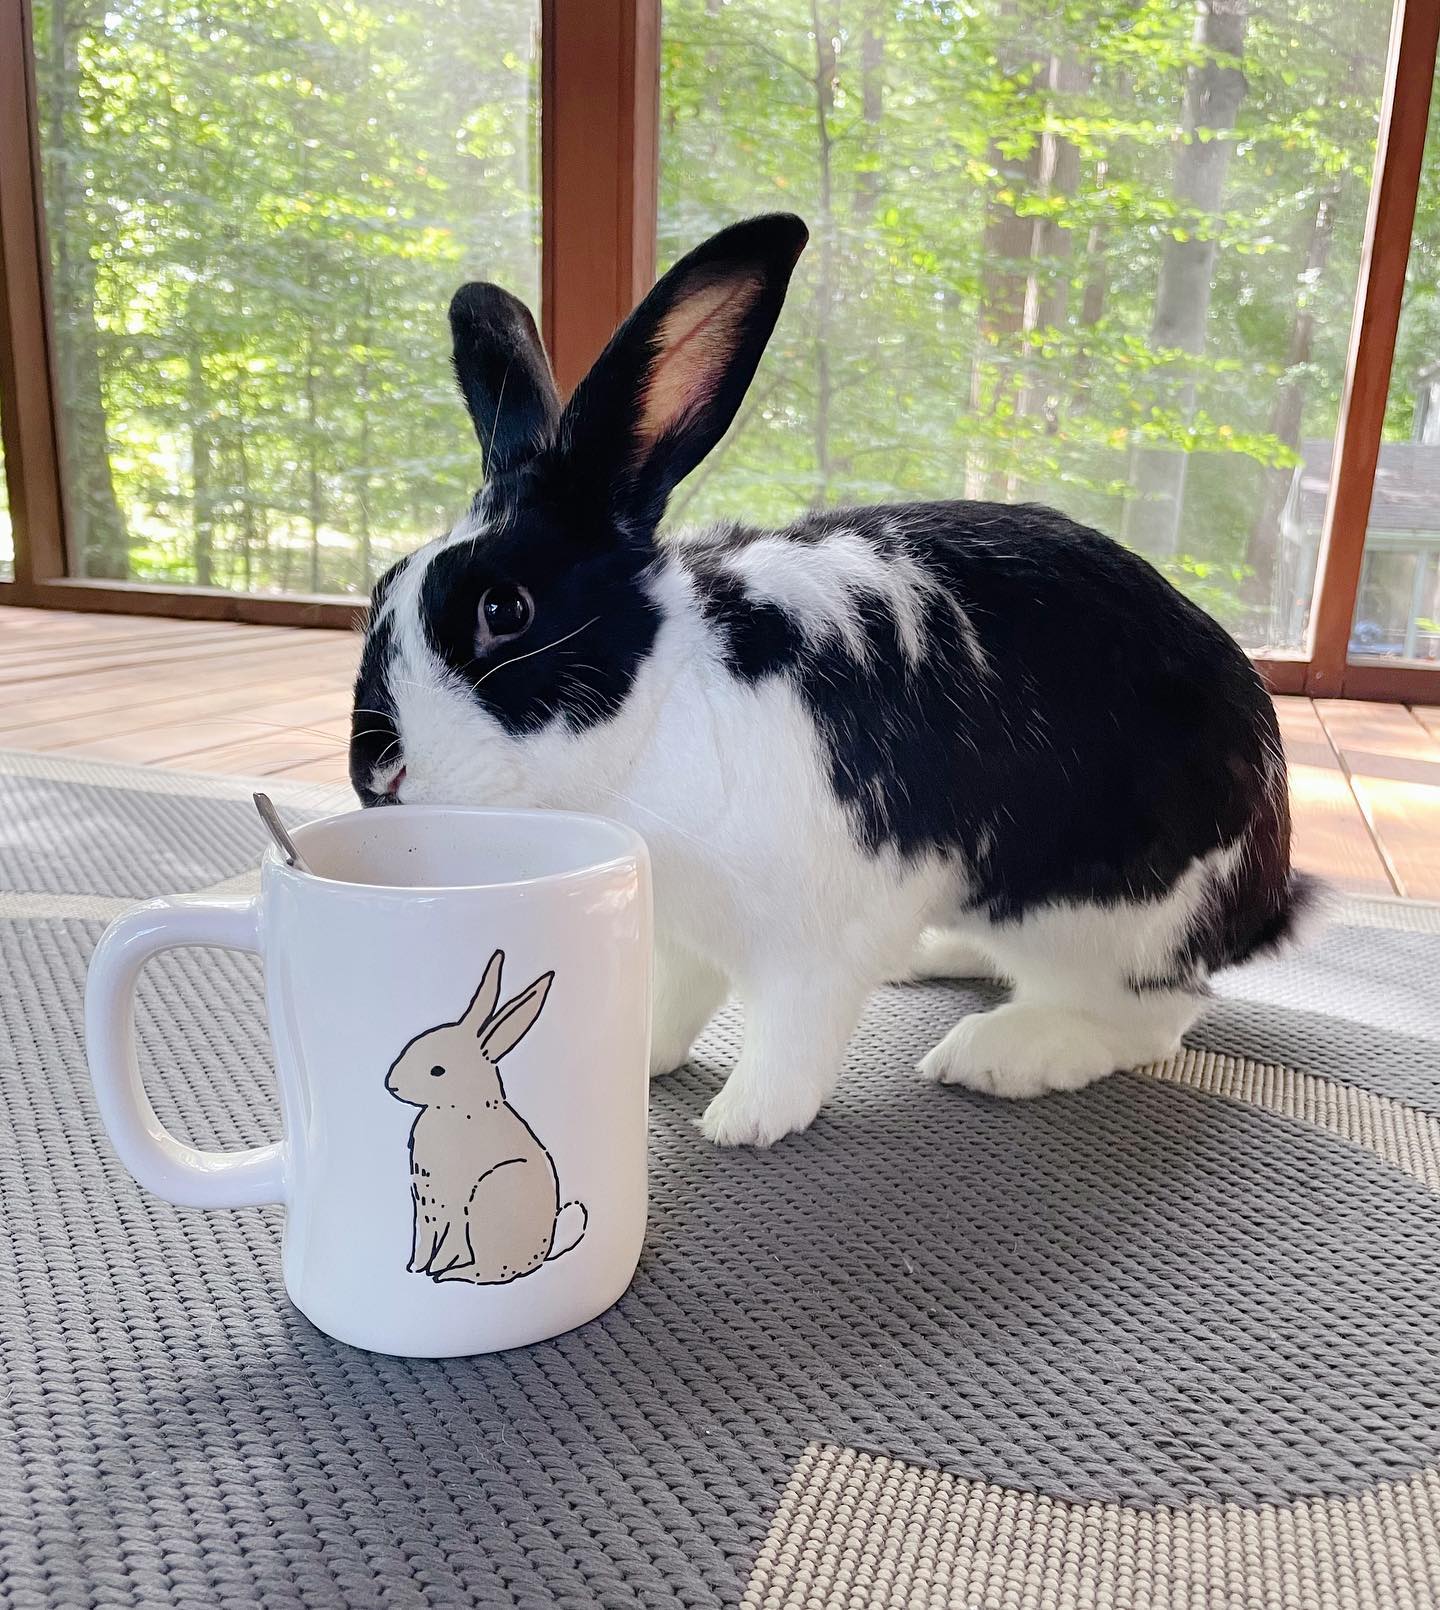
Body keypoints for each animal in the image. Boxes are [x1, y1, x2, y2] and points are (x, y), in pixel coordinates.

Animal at [351, 212, 1316, 1150]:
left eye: (504, 609)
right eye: (384, 585)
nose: (374, 776)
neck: (661, 711)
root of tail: (1268, 885)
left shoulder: (814, 937)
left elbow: (793, 1031)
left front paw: (745, 1121)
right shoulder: (683, 934)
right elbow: (670, 1001)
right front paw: (636, 1062)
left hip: (1101, 920)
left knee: (1150, 1017)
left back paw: (1003, 1053)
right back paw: (939, 958)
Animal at [385, 950, 587, 1284]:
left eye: (437, 1070)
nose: (391, 1084)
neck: (458, 1108)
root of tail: (542, 1254)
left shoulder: (454, 1204)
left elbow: (448, 1243)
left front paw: (434, 1270)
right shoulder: (425, 1207)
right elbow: (424, 1241)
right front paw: (415, 1268)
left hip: (487, 1197)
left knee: (491, 1271)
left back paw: (454, 1274)